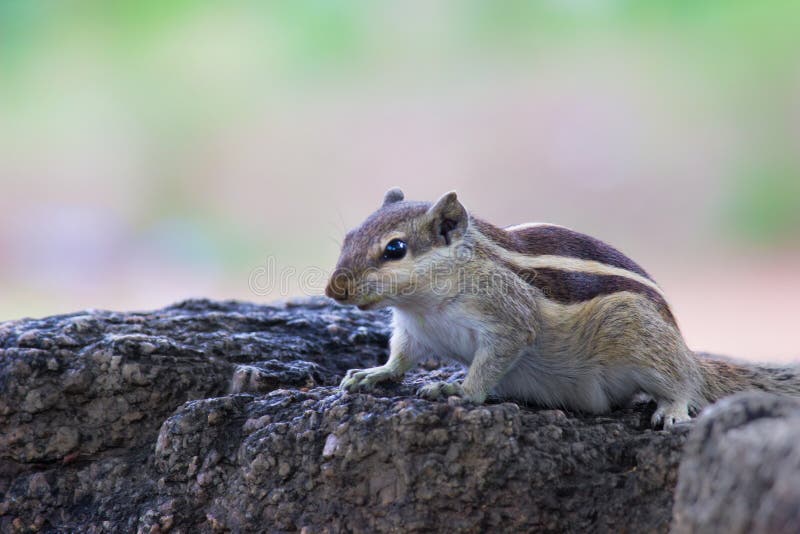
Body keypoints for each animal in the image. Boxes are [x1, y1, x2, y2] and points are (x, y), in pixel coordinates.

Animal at [325, 188, 800, 428]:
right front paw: (373, 373)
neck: (424, 303)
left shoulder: (508, 317)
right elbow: (401, 357)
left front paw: (458, 391)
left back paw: (673, 407)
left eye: (395, 249)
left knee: (683, 379)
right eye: (348, 236)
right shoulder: (413, 329)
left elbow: (492, 359)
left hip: (638, 335)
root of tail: (684, 346)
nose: (334, 290)